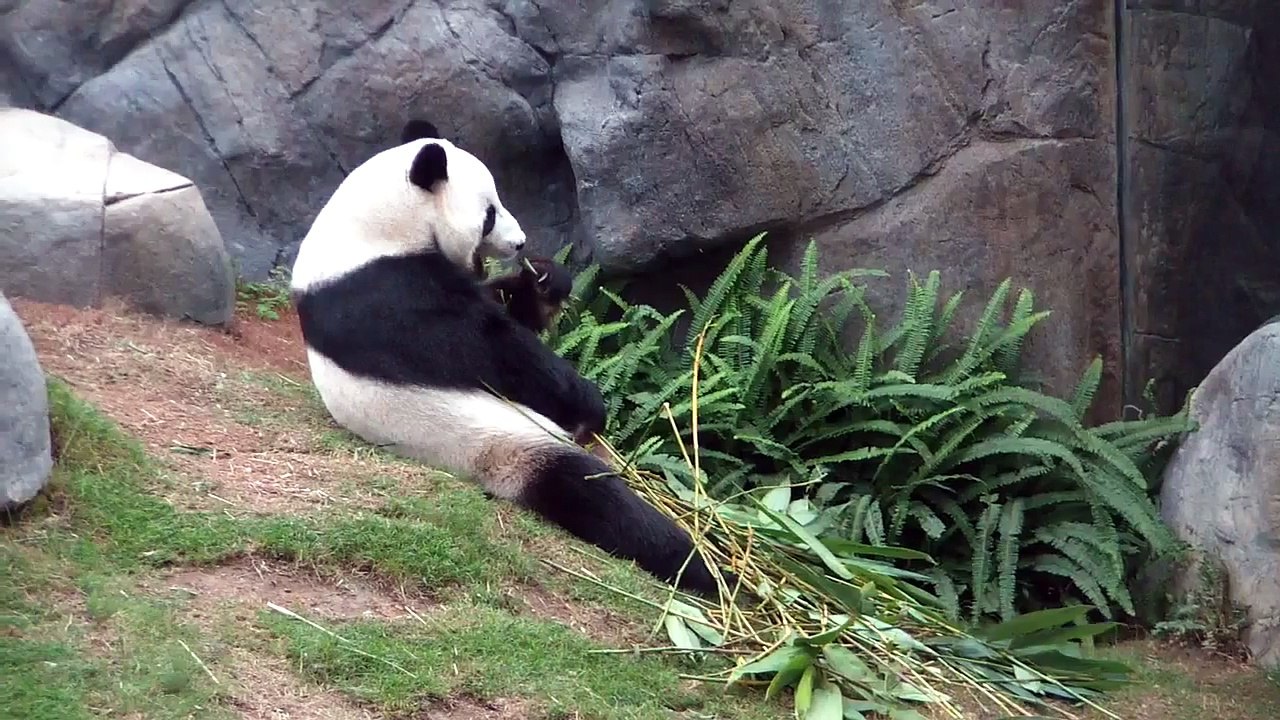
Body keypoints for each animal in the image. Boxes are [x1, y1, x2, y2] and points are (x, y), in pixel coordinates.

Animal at [289, 119, 727, 597]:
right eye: (490, 213)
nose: (520, 244)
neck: (372, 229)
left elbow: (507, 310)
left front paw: (546, 280)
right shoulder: (386, 294)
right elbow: (494, 352)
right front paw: (590, 405)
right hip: (503, 445)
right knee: (591, 495)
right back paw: (708, 570)